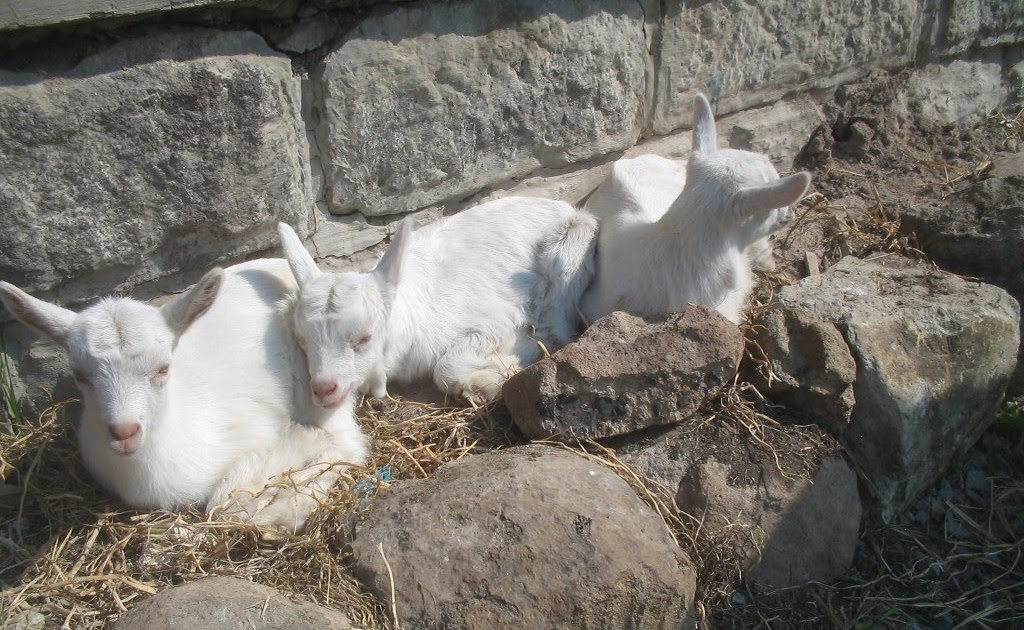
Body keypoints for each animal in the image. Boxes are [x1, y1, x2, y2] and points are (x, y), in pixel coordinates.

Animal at [278, 196, 597, 405]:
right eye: (302, 340)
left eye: (365, 338)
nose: (324, 388)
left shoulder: (498, 321)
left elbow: (445, 367)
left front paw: (494, 377)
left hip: (570, 248)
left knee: (557, 325)